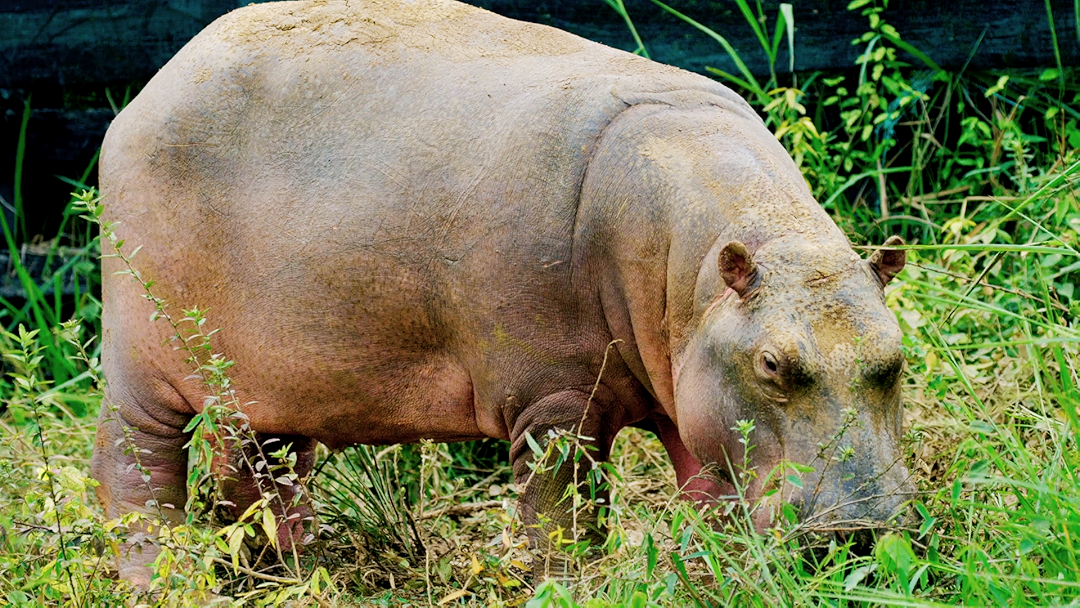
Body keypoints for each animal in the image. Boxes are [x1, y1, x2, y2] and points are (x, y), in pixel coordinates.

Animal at [92, 0, 912, 586]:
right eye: (773, 365)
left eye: (899, 356)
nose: (862, 529)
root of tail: (155, 84)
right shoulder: (553, 403)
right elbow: (561, 519)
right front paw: (571, 587)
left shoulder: (689, 386)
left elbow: (709, 494)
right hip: (141, 351)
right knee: (135, 467)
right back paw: (164, 583)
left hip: (264, 377)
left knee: (256, 473)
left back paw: (294, 573)